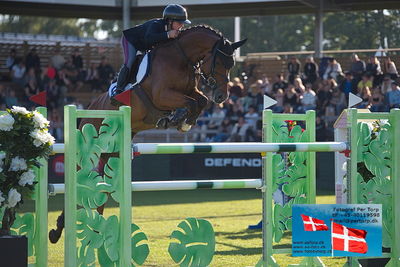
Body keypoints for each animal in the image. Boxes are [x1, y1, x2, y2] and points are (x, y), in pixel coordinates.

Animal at [48, 25, 245, 245]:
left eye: (232, 64)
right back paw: (58, 230)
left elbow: (200, 101)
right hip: (89, 152)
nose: (222, 97)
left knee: (102, 188)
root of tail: (88, 109)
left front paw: (183, 121)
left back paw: (96, 228)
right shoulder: (163, 95)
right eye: (219, 62)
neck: (181, 56)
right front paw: (179, 119)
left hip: (112, 154)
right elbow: (192, 102)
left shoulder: (191, 91)